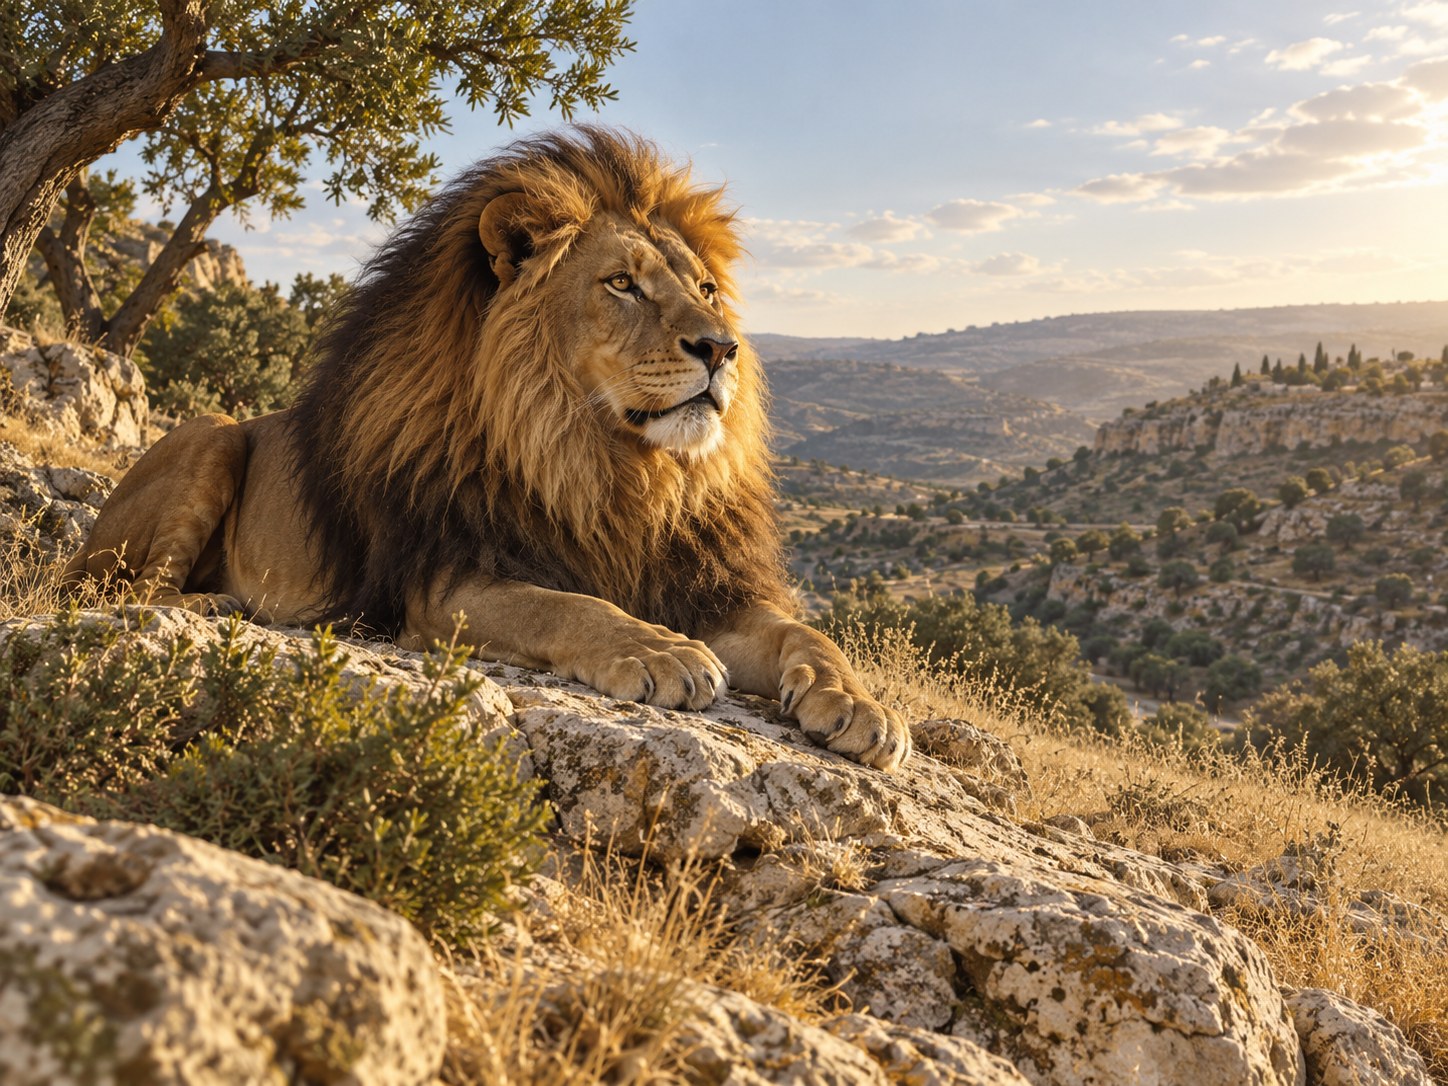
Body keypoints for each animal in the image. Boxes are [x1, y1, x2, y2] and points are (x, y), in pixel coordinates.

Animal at [64, 127, 911, 771]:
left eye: (705, 289)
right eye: (622, 284)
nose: (722, 348)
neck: (612, 468)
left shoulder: (704, 587)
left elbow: (810, 634)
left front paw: (863, 706)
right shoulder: (445, 584)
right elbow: (567, 605)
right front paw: (659, 653)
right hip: (209, 437)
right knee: (119, 592)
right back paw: (215, 602)